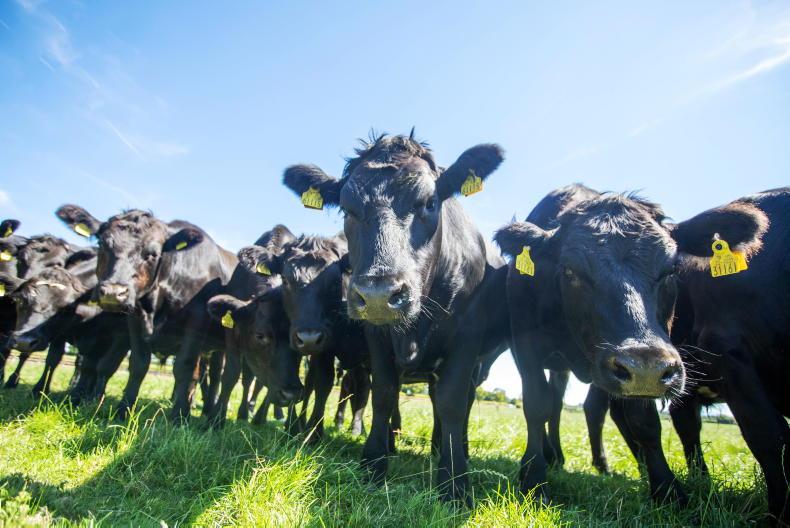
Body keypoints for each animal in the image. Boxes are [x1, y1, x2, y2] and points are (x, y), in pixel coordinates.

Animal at [55, 205, 234, 422]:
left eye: (152, 254)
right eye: (102, 244)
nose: (114, 292)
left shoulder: (197, 321)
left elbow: (185, 367)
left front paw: (179, 417)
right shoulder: (134, 319)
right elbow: (138, 365)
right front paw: (124, 411)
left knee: (216, 375)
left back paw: (209, 409)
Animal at [281, 132, 510, 505]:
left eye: (430, 202)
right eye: (346, 208)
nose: (378, 295)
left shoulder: (467, 339)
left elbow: (451, 401)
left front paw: (454, 482)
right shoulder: (376, 337)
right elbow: (384, 394)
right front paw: (374, 463)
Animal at [494, 183, 768, 505]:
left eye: (671, 270)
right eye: (570, 271)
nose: (644, 365)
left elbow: (645, 421)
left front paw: (667, 488)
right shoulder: (524, 347)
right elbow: (537, 405)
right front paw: (534, 479)